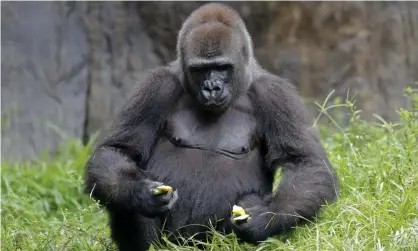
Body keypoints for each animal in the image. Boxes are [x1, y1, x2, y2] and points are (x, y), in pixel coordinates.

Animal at [83, 2, 338, 251]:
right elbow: (118, 150)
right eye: (200, 69)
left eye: (223, 67)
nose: (212, 88)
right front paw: (139, 193)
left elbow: (304, 162)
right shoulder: (155, 87)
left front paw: (263, 218)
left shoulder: (276, 96)